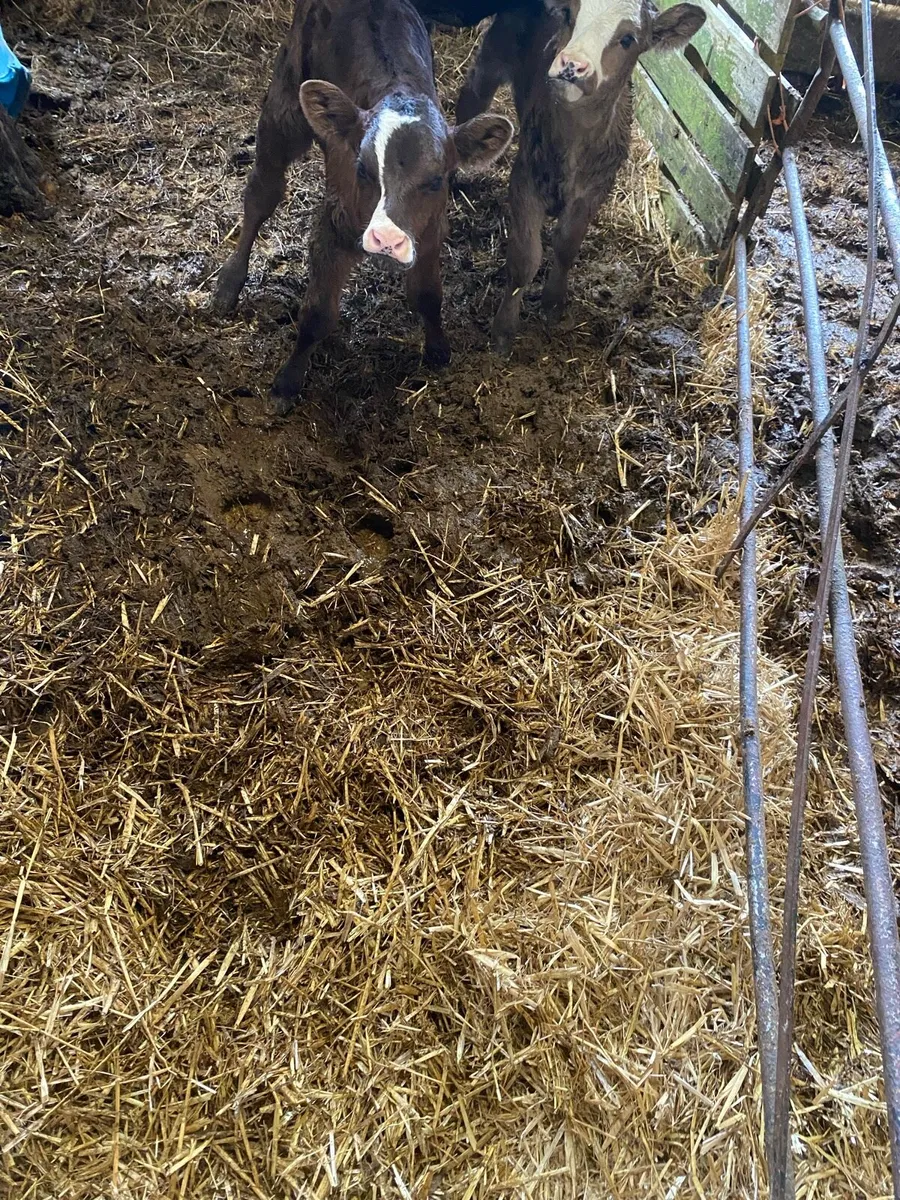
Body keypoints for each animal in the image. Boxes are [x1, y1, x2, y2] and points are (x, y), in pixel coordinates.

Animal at [212, 0, 514, 413]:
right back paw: (229, 283)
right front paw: (286, 384)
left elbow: (429, 295)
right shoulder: (333, 226)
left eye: (438, 179)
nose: (386, 238)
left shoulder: (429, 230)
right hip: (285, 106)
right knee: (261, 193)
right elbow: (318, 314)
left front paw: (438, 352)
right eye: (362, 169)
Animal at [454, 0, 706, 354]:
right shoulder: (526, 180)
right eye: (570, 16)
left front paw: (553, 304)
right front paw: (503, 330)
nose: (572, 64)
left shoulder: (595, 189)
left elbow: (566, 245)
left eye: (628, 39)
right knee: (470, 101)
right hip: (493, 55)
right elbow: (524, 259)